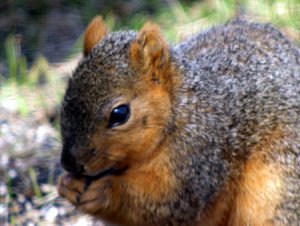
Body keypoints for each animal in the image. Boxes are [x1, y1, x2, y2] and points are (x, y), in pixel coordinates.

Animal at [57, 16, 298, 226]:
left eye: (119, 114)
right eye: (65, 99)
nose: (69, 162)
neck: (177, 112)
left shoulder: (200, 155)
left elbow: (173, 202)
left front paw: (104, 190)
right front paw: (67, 185)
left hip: (275, 187)